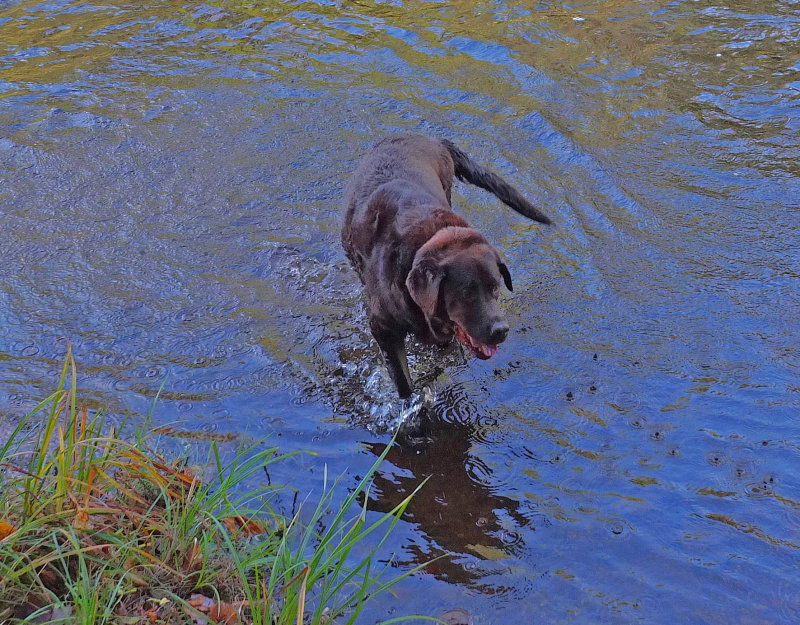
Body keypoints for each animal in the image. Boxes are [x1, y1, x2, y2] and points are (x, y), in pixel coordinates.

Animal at [338, 135, 552, 400]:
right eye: (466, 293)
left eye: (495, 287)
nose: (501, 330)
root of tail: (427, 137)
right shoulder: (383, 328)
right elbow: (404, 384)